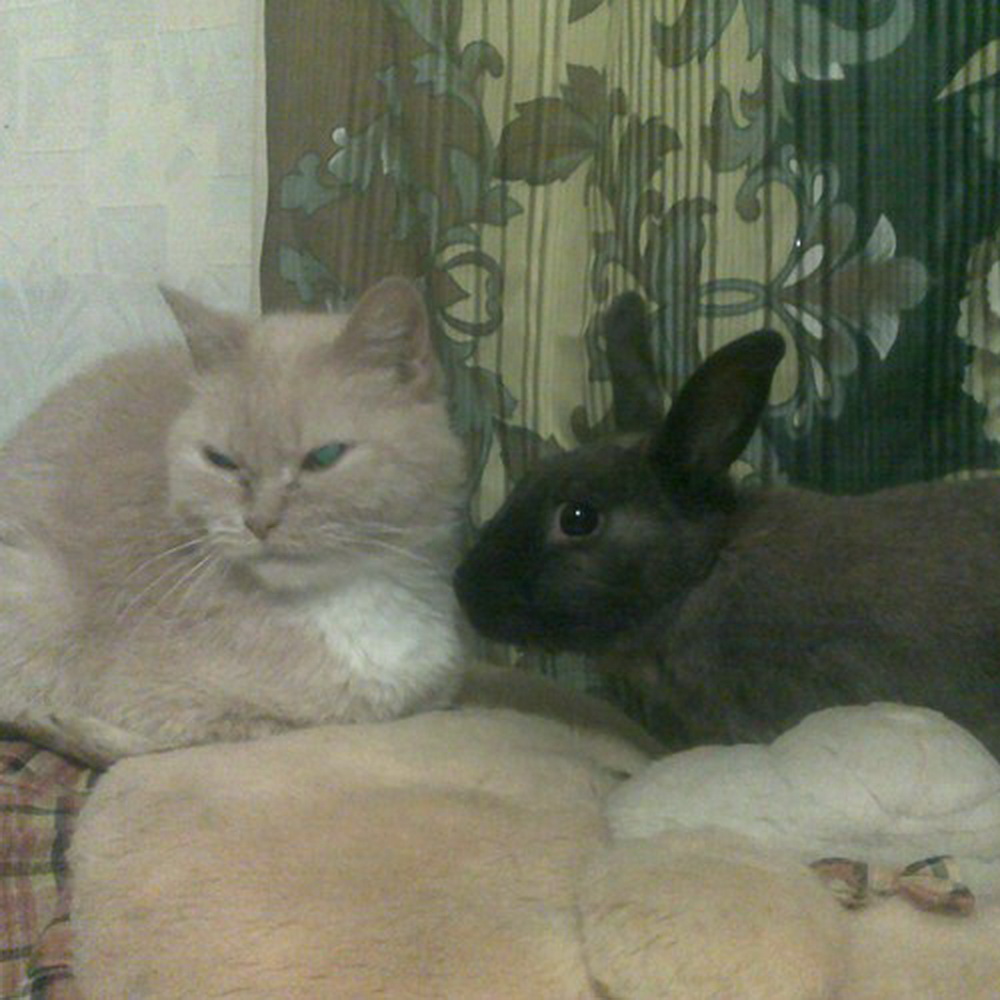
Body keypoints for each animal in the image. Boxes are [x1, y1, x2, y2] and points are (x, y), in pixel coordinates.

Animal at [0, 277, 468, 766]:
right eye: (221, 460)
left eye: (324, 457)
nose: (259, 522)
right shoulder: (169, 708)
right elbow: (234, 728)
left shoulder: (438, 687)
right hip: (35, 585)